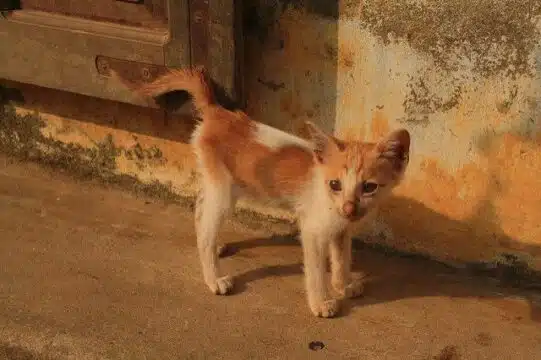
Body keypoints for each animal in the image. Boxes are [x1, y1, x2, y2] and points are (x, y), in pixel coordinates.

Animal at [124, 67, 410, 318]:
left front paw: (344, 285)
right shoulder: (313, 230)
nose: (350, 208)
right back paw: (214, 276)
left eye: (369, 187)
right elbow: (316, 270)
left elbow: (341, 259)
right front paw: (321, 302)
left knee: (201, 208)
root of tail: (219, 113)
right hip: (224, 190)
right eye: (335, 184)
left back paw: (214, 246)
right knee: (207, 226)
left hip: (217, 181)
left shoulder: (341, 230)